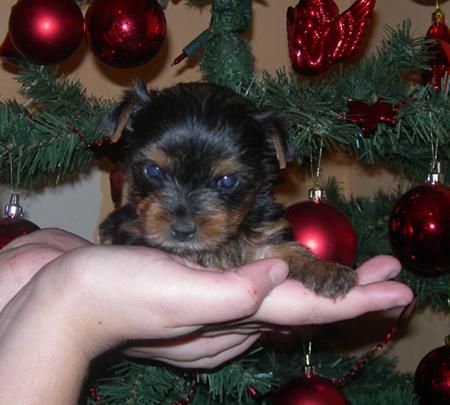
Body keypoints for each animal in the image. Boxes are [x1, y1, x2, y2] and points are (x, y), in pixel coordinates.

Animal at [100, 81, 356, 296]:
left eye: (227, 180)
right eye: (153, 171)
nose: (182, 230)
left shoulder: (264, 233)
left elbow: (285, 250)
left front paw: (325, 269)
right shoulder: (129, 229)